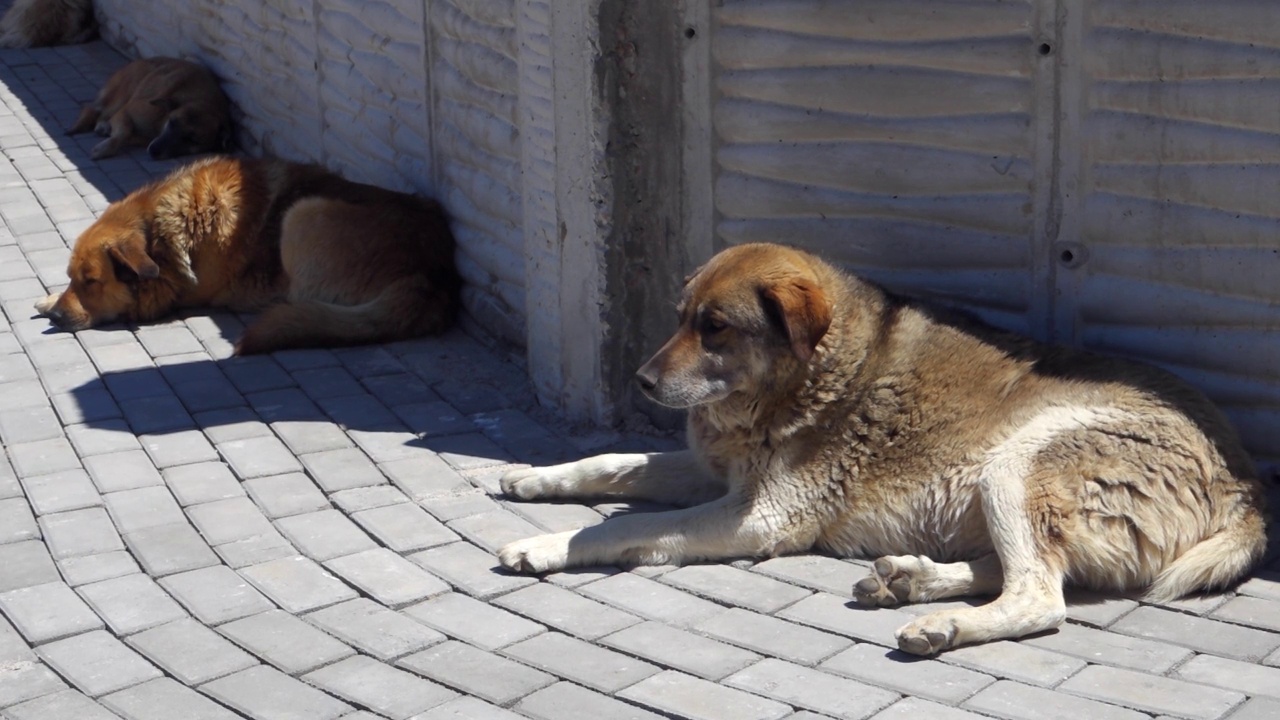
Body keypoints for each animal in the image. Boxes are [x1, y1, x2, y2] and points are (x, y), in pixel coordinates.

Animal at [33, 157, 465, 356]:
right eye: (72, 277)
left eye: (92, 282)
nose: (57, 318)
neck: (163, 230)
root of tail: (433, 276)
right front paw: (48, 299)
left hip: (303, 213)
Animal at [67, 57, 234, 161]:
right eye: (172, 122)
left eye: (192, 140)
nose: (153, 150)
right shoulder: (125, 112)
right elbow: (124, 132)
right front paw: (105, 147)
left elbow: (127, 134)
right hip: (124, 92)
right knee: (97, 110)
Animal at [499, 243, 1269, 653]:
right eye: (682, 319)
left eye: (715, 328)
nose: (641, 379)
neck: (804, 377)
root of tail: (1245, 486)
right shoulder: (714, 473)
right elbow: (610, 465)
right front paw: (531, 479)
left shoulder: (757, 517)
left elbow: (621, 527)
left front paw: (546, 544)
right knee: (1027, 573)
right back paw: (910, 579)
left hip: (1017, 463)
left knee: (1039, 596)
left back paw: (943, 622)